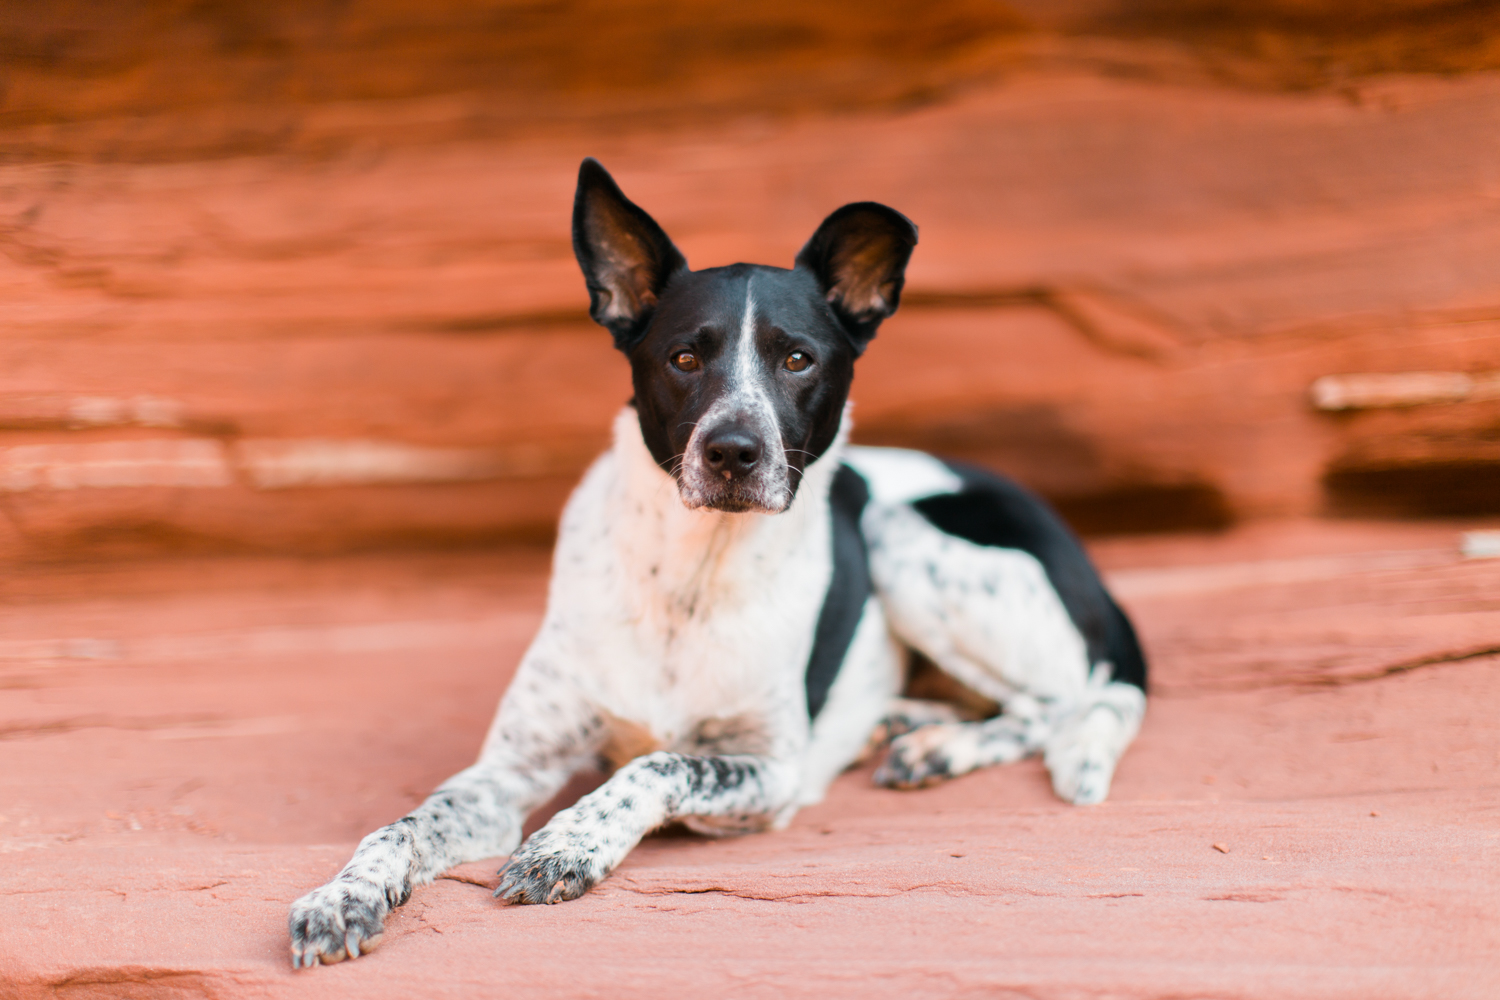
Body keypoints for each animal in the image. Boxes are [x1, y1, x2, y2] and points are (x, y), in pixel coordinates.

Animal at [283, 160, 1146, 965]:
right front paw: (341, 894)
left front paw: (569, 841)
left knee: (1055, 702)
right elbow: (404, 823)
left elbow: (660, 765)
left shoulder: (768, 771)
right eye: (684, 359)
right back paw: (906, 721)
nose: (734, 450)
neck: (688, 574)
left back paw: (940, 745)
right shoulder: (507, 770)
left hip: (899, 533)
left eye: (797, 360)